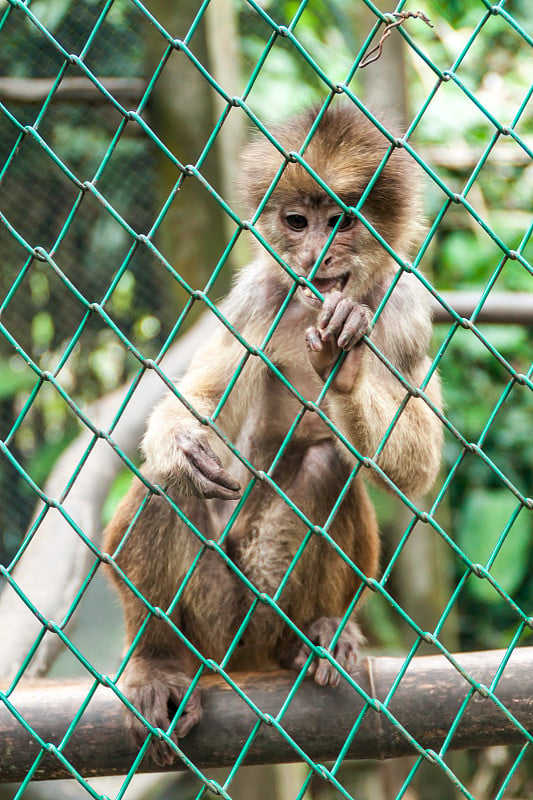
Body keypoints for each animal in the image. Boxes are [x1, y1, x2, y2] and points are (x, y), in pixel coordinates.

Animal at [103, 103, 440, 764]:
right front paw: (179, 442)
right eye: (297, 221)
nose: (315, 254)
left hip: (267, 613)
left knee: (327, 464)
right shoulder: (259, 294)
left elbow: (421, 467)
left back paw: (318, 634)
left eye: (341, 222)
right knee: (168, 484)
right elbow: (198, 412)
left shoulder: (408, 308)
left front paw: (343, 369)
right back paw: (157, 660)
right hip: (218, 625)